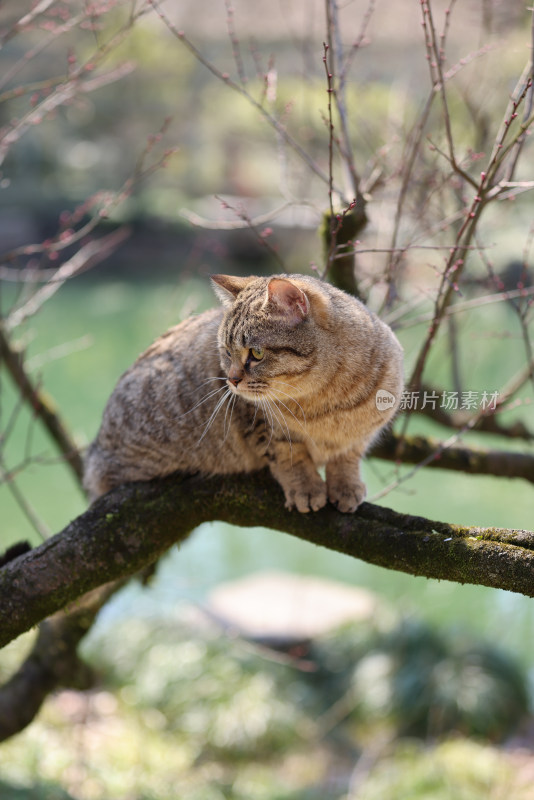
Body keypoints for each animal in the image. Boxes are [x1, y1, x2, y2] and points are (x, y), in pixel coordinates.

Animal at [84, 276, 404, 512]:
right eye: (226, 352)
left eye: (257, 353)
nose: (231, 380)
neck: (324, 402)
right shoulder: (259, 423)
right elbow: (289, 456)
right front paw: (306, 487)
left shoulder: (365, 431)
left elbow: (347, 457)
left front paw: (346, 485)